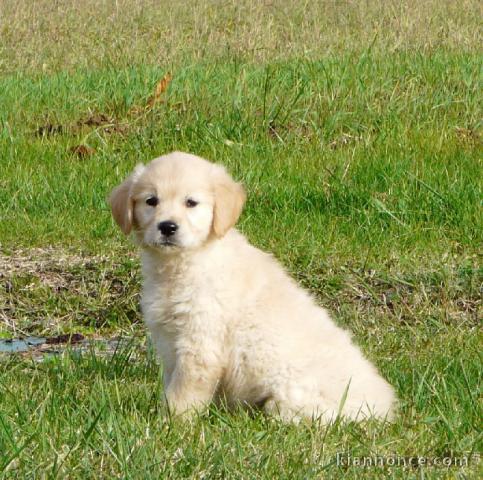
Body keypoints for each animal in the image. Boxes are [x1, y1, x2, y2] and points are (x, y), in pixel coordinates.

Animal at [109, 152, 398, 422]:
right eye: (151, 201)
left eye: (191, 202)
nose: (167, 227)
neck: (184, 263)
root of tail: (384, 409)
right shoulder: (169, 342)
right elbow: (170, 384)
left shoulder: (200, 343)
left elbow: (183, 393)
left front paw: (170, 423)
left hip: (292, 394)